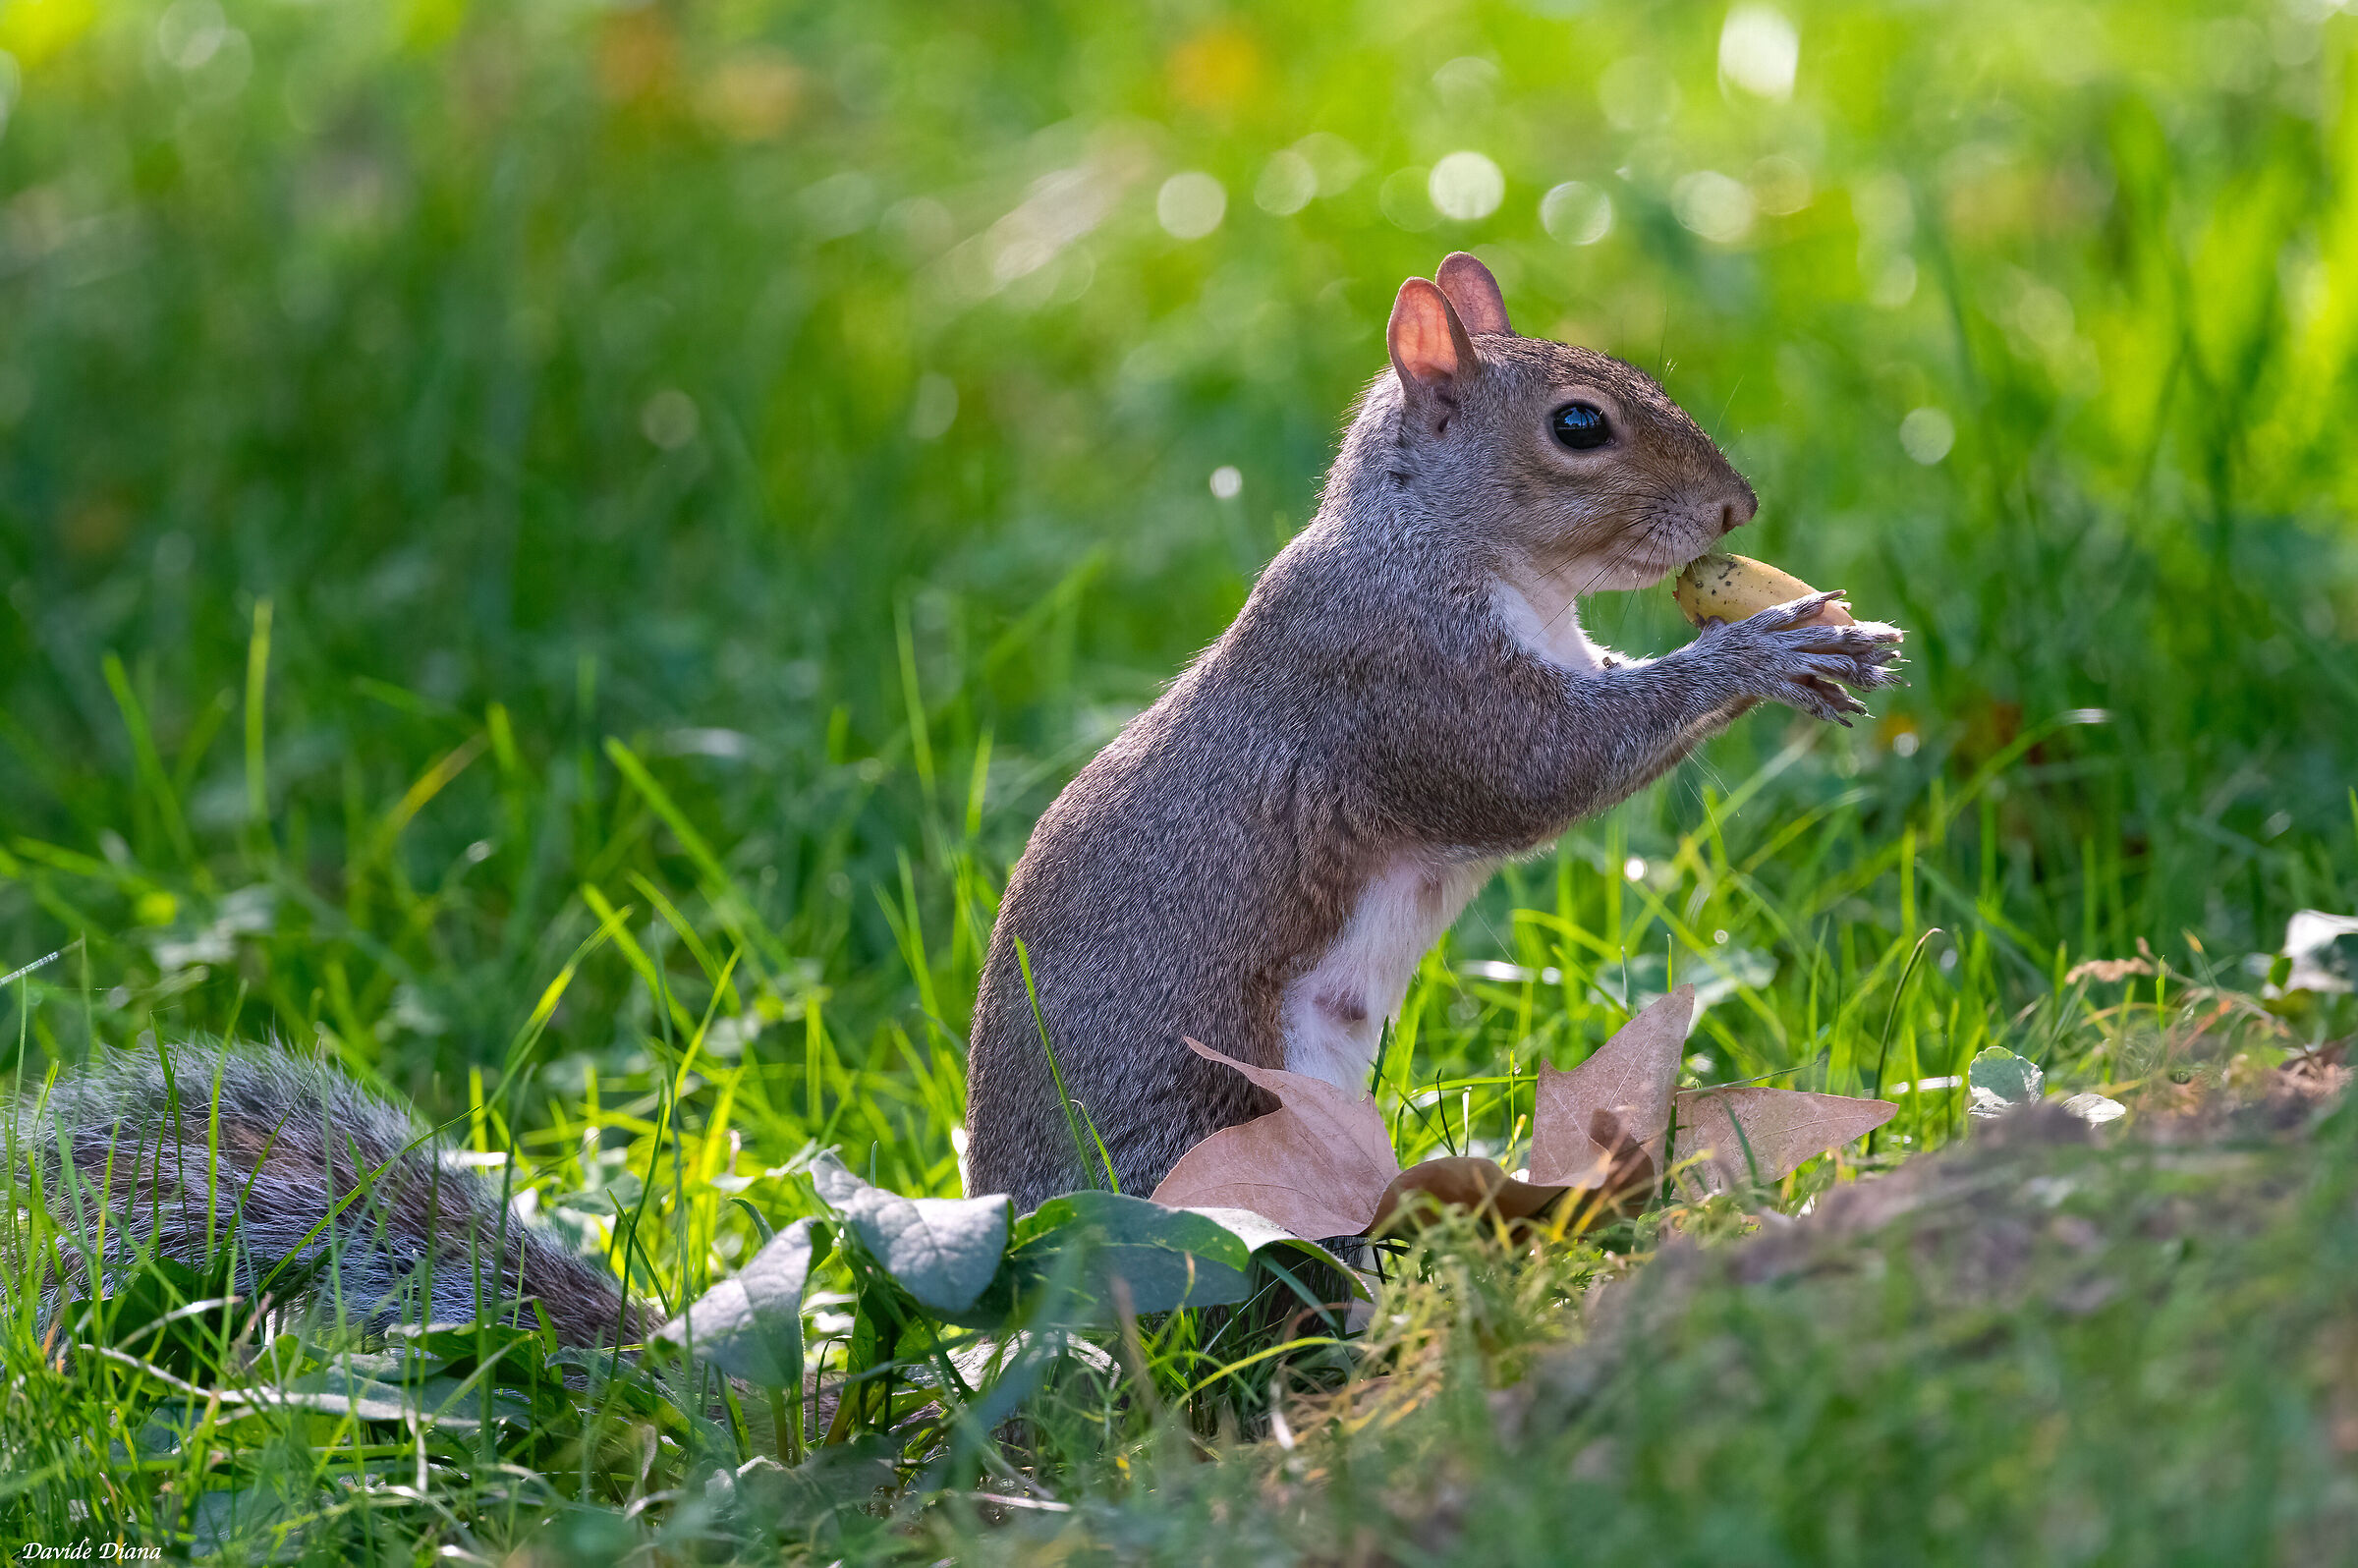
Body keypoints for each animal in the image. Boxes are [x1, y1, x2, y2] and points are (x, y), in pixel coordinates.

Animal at [963, 253, 1904, 1212]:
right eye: (1578, 424)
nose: (1737, 508)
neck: (1459, 550)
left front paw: (1834, 648)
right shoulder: (1401, 668)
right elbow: (1540, 771)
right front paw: (1763, 651)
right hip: (1209, 1137)